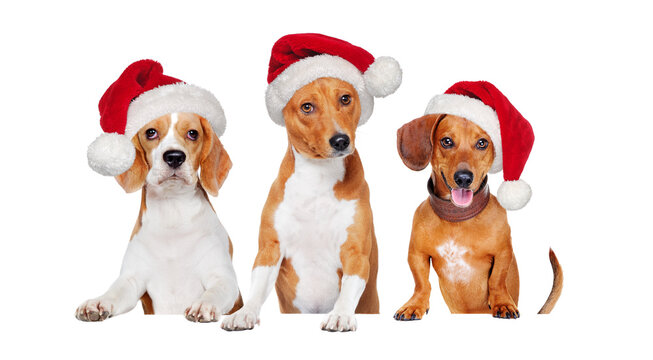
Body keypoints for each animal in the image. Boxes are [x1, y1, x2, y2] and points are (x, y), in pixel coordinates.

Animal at [74, 113, 242, 324]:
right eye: (151, 132)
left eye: (193, 133)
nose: (174, 157)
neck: (172, 212)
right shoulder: (132, 280)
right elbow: (115, 292)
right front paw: (98, 302)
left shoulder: (224, 279)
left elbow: (216, 291)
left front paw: (204, 304)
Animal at [222, 78, 380, 332]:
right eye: (307, 107)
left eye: (345, 99)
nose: (341, 140)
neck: (318, 177)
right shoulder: (270, 249)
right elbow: (257, 286)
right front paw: (244, 313)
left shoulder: (355, 252)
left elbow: (348, 289)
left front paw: (340, 315)